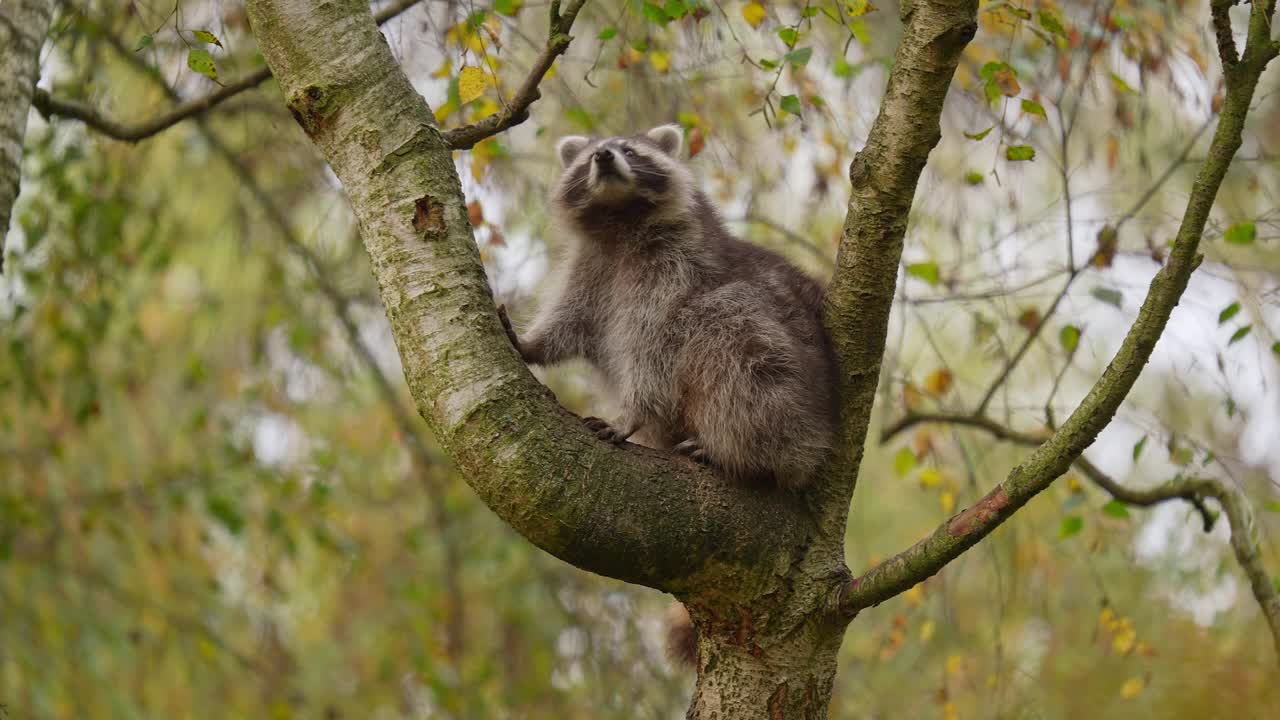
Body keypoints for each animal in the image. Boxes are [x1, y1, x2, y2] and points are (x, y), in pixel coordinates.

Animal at [499, 126, 839, 489]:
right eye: (590, 155)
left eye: (630, 151)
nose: (604, 156)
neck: (619, 217)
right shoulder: (592, 266)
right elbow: (572, 319)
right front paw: (532, 343)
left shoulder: (676, 267)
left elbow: (654, 348)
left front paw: (632, 414)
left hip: (787, 390)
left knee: (731, 338)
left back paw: (733, 450)